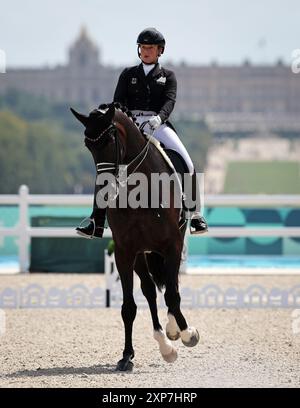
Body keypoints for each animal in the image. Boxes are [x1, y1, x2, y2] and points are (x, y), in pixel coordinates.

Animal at [70, 103, 199, 372]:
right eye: (88, 144)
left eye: (109, 140)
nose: (104, 189)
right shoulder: (124, 252)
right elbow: (129, 307)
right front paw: (126, 356)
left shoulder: (172, 245)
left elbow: (172, 293)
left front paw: (187, 333)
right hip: (141, 254)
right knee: (150, 290)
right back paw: (165, 345)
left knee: (171, 288)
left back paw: (174, 330)